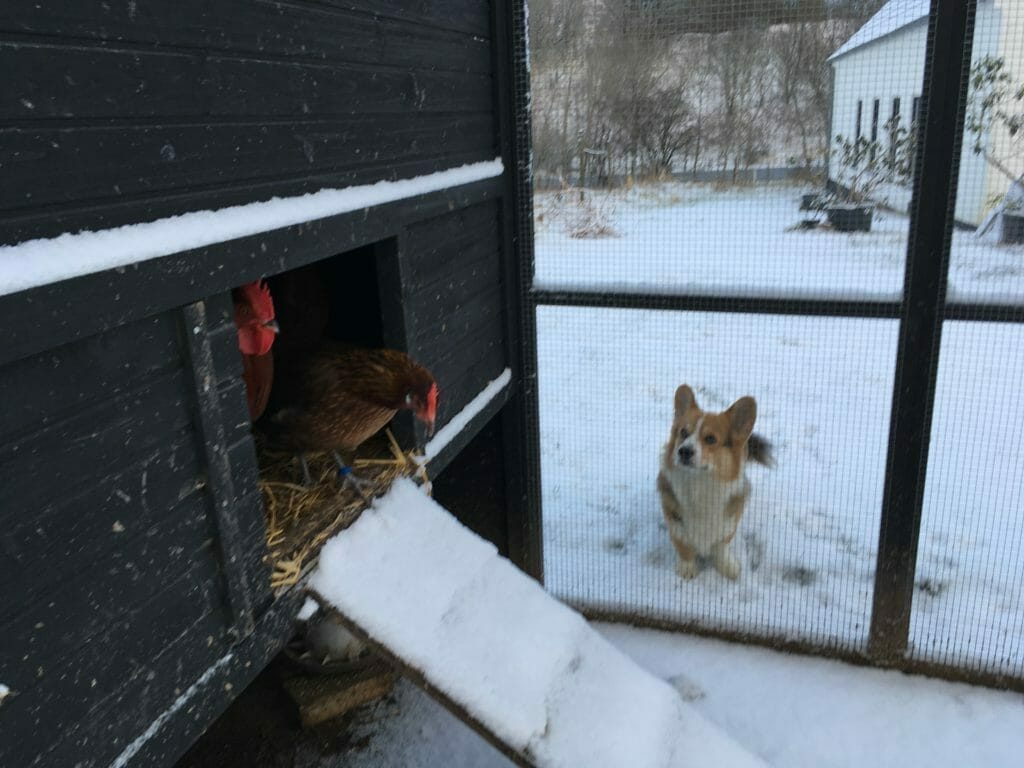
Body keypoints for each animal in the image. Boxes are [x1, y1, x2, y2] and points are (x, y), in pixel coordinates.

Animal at [655, 387, 774, 581]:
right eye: (683, 433)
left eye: (710, 439)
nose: (683, 451)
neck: (700, 483)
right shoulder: (675, 521)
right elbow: (683, 546)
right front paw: (687, 568)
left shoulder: (728, 524)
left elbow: (721, 547)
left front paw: (727, 566)